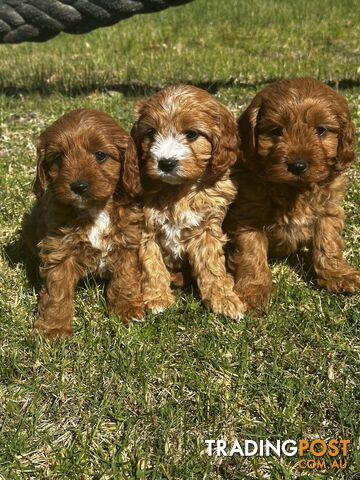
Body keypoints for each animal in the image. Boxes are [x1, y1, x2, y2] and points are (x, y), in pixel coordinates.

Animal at [21, 109, 143, 342]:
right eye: (58, 158)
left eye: (100, 155)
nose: (78, 186)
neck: (95, 210)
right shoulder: (59, 250)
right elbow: (57, 292)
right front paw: (53, 328)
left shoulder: (127, 241)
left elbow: (124, 277)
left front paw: (126, 309)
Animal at [132, 85, 248, 320]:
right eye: (151, 133)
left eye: (192, 134)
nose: (166, 163)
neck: (179, 190)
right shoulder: (145, 229)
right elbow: (151, 264)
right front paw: (158, 297)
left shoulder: (207, 228)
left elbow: (212, 266)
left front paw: (224, 298)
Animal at [225, 77, 360, 310]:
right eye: (276, 130)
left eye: (321, 130)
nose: (298, 166)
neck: (295, 189)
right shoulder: (247, 216)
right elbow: (251, 254)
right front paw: (253, 291)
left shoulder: (328, 210)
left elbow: (328, 243)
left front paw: (337, 274)